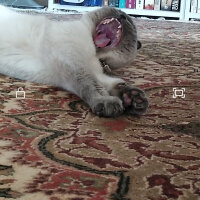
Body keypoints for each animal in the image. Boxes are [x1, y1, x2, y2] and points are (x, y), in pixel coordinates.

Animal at [0, 5, 148, 117]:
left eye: (130, 24)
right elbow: (93, 85)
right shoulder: (74, 63)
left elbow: (114, 83)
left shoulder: (70, 74)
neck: (97, 56)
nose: (123, 16)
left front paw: (134, 99)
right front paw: (108, 102)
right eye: (121, 13)